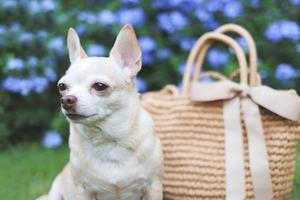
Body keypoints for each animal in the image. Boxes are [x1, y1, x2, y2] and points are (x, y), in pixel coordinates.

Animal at [39, 24, 164, 199]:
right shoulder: (82, 190)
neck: (108, 139)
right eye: (62, 87)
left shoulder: (153, 186)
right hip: (52, 195)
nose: (66, 100)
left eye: (100, 86)